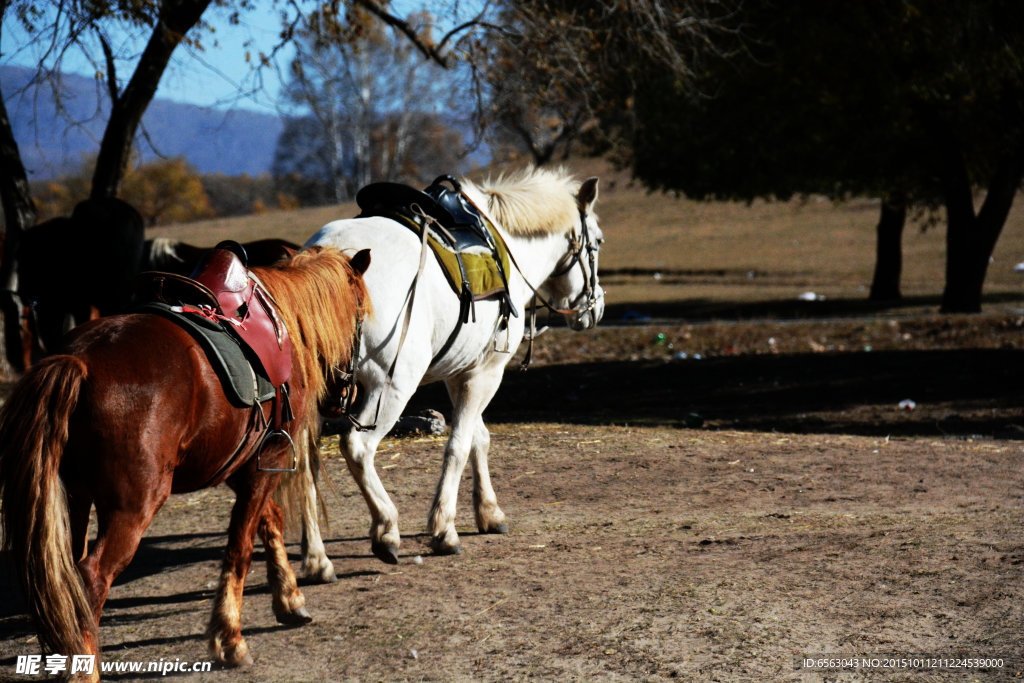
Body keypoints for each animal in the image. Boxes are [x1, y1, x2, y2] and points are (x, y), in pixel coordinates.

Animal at [0, 246, 370, 679]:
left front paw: (289, 599)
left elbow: (270, 522)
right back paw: (85, 670)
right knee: (91, 578)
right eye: (360, 318)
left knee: (67, 579)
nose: (347, 394)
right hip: (132, 508)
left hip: (74, 496)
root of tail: (78, 362)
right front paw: (230, 640)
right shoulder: (270, 457)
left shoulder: (244, 464)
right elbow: (240, 547)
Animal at [294, 166, 598, 577]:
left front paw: (488, 512)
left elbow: (477, 438)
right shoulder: (486, 373)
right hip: (390, 389)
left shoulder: (462, 373)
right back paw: (386, 530)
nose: (595, 309)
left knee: (302, 463)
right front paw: (444, 530)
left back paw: (316, 559)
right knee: (358, 448)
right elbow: (458, 445)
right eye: (597, 242)